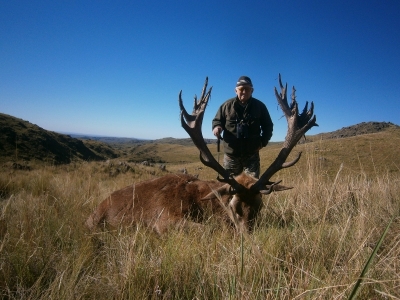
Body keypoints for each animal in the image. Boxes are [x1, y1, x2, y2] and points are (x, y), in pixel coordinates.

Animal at [86, 75, 318, 234]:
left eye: (259, 206)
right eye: (234, 207)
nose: (246, 235)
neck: (204, 203)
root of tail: (94, 211)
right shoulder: (163, 220)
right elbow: (208, 229)